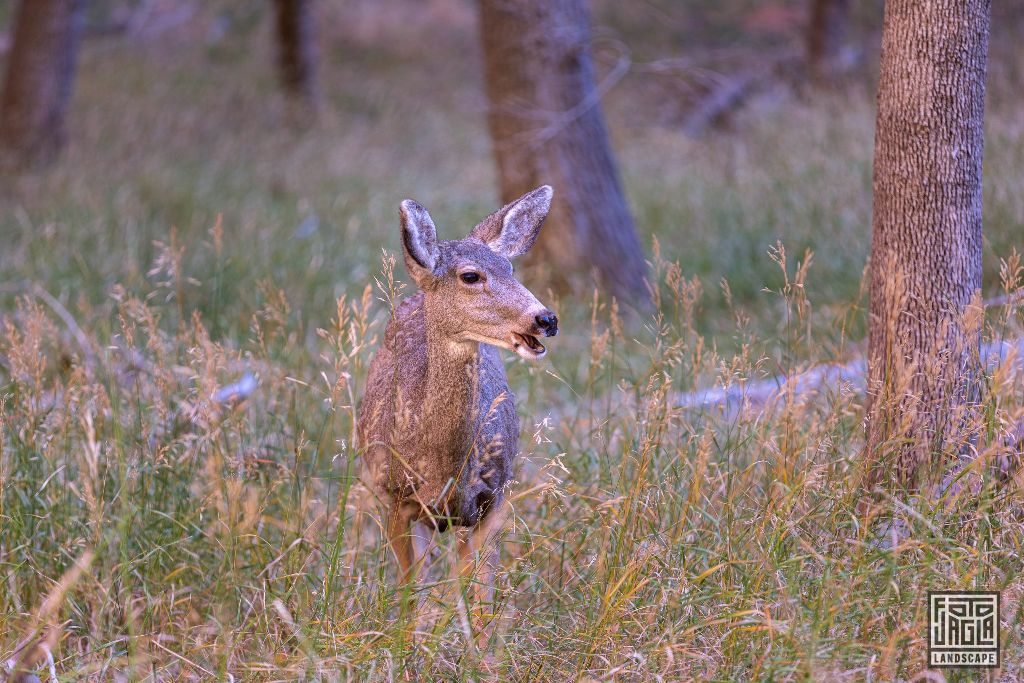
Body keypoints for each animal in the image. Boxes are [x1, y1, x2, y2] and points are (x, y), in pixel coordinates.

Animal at [358, 185, 558, 640]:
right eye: (470, 276)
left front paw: (479, 649)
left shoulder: (494, 495)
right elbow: (410, 588)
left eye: (510, 267)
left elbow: (480, 595)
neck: (442, 467)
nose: (545, 318)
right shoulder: (393, 494)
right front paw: (407, 644)